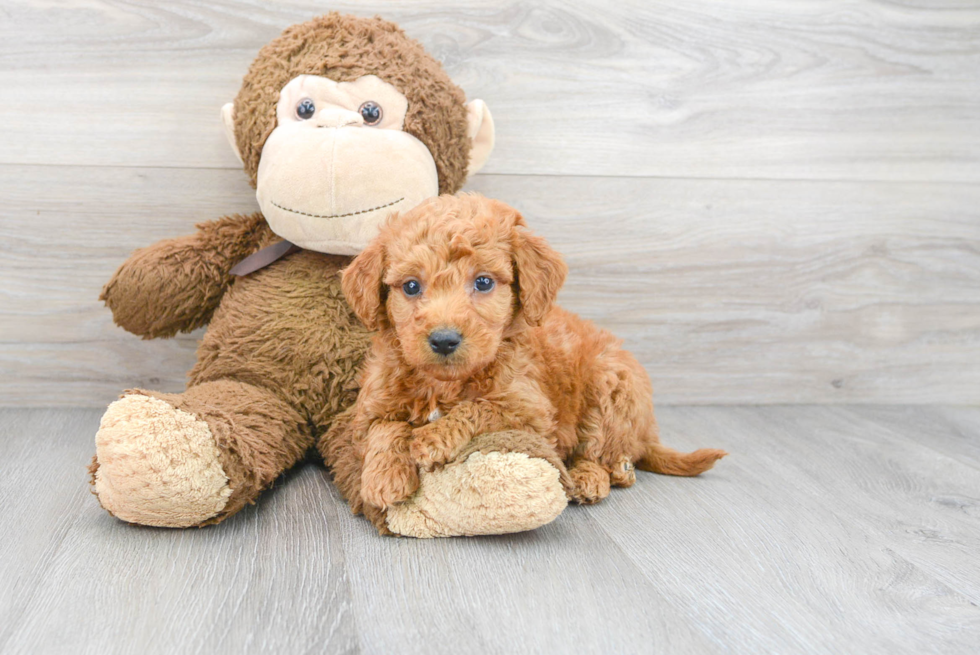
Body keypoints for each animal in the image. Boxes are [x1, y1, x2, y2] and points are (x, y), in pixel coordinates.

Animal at [340, 195, 724, 512]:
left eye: (483, 282)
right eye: (411, 286)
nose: (444, 340)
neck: (444, 383)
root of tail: (647, 431)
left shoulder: (530, 413)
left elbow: (478, 408)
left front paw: (433, 437)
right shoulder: (371, 404)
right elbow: (384, 428)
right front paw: (383, 477)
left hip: (612, 385)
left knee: (600, 449)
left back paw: (596, 477)